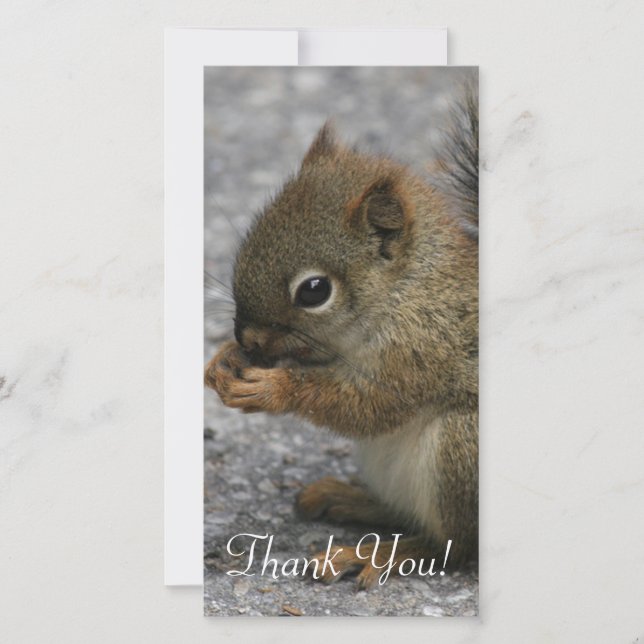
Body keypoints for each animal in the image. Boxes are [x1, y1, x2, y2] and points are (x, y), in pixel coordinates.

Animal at [205, 84, 478, 589]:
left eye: (315, 290)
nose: (247, 338)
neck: (405, 288)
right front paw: (223, 361)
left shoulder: (423, 346)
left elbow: (370, 405)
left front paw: (274, 389)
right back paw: (350, 499)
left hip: (461, 449)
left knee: (454, 546)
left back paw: (381, 552)